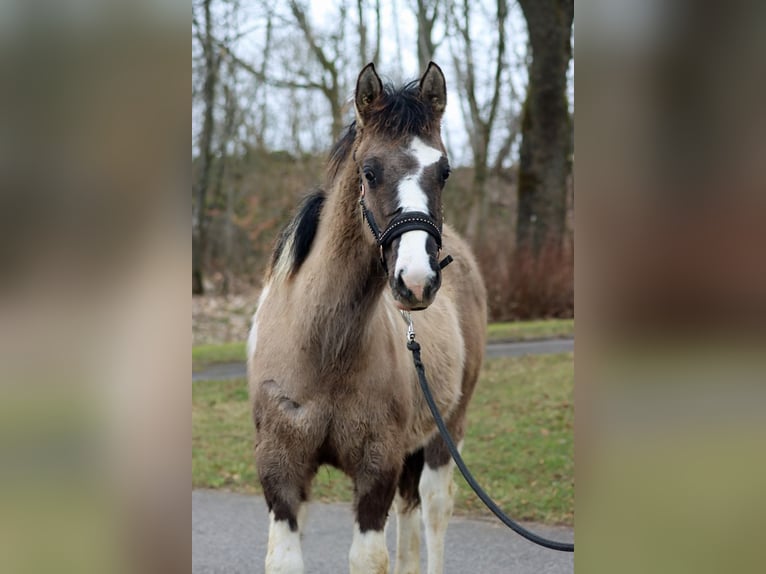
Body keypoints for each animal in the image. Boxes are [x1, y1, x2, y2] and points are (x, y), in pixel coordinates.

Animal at [247, 62, 487, 574]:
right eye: (369, 171)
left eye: (444, 171)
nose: (416, 280)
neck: (323, 347)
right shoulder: (281, 473)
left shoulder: (376, 470)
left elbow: (369, 559)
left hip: (444, 433)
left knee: (433, 509)